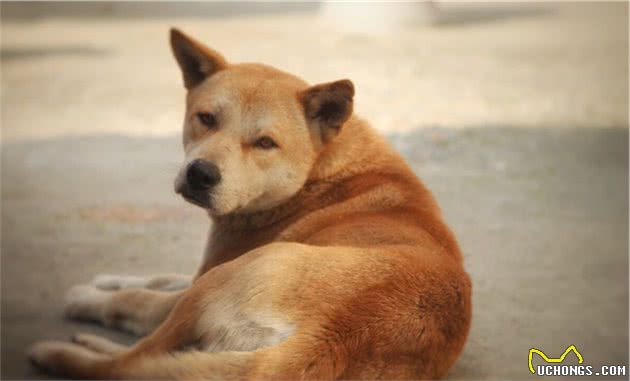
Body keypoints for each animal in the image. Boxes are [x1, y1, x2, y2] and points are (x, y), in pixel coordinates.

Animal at [28, 28, 474, 378]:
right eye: (206, 118)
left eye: (264, 143)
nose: (201, 174)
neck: (320, 171)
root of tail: (334, 337)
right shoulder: (204, 268)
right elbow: (156, 278)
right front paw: (108, 279)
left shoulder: (203, 278)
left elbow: (136, 299)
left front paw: (87, 297)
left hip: (221, 283)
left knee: (131, 363)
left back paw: (68, 351)